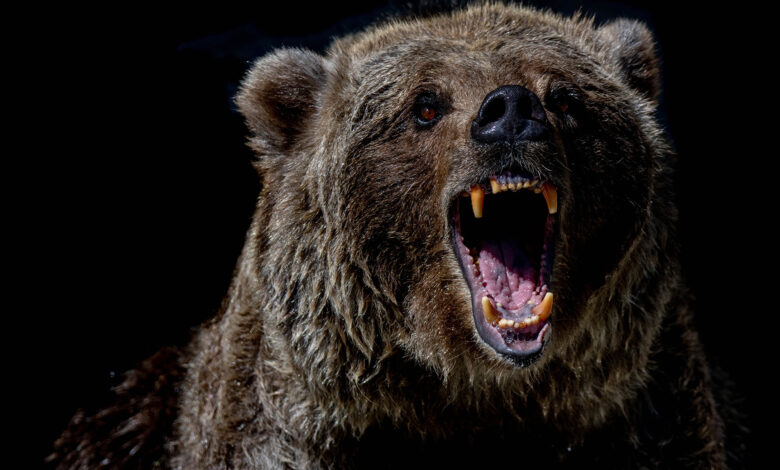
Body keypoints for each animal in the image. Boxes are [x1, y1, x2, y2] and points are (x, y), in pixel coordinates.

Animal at [49, 2, 744, 468]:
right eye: (425, 105)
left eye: (567, 98)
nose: (511, 111)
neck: (470, 395)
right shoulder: (284, 432)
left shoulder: (644, 420)